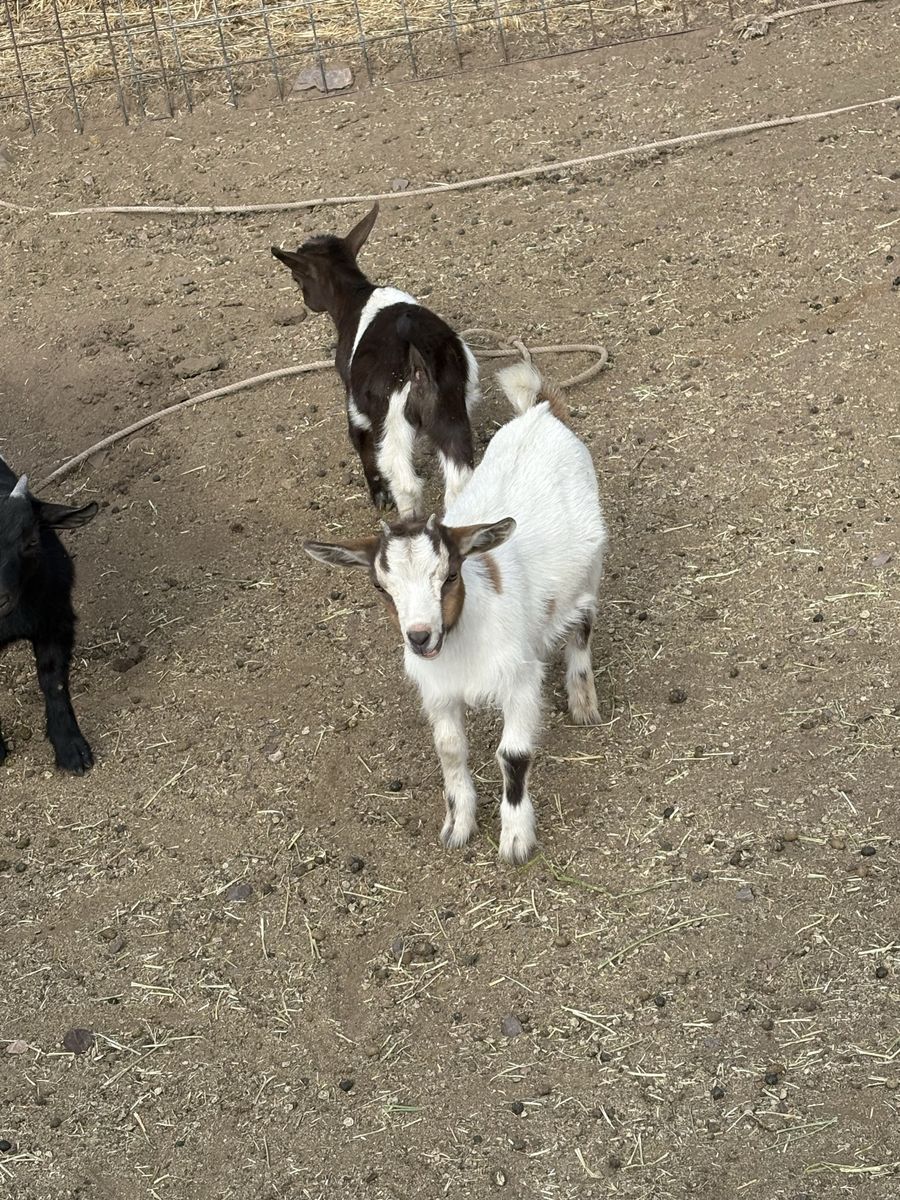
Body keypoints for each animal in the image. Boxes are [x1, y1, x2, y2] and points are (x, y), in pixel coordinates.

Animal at [271, 202, 479, 520]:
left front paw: (379, 495)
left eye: (297, 278)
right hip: (449, 411)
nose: (308, 303)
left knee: (404, 481)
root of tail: (420, 355)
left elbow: (360, 441)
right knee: (460, 480)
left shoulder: (354, 399)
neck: (356, 295)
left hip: (392, 418)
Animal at [303, 362, 607, 864]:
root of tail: (542, 412)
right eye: (380, 587)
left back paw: (583, 701)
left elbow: (513, 755)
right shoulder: (438, 693)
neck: (464, 638)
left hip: (589, 570)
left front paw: (516, 839)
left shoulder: (520, 681)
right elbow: (450, 751)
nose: (420, 637)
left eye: (448, 576)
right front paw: (457, 825)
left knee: (582, 626)